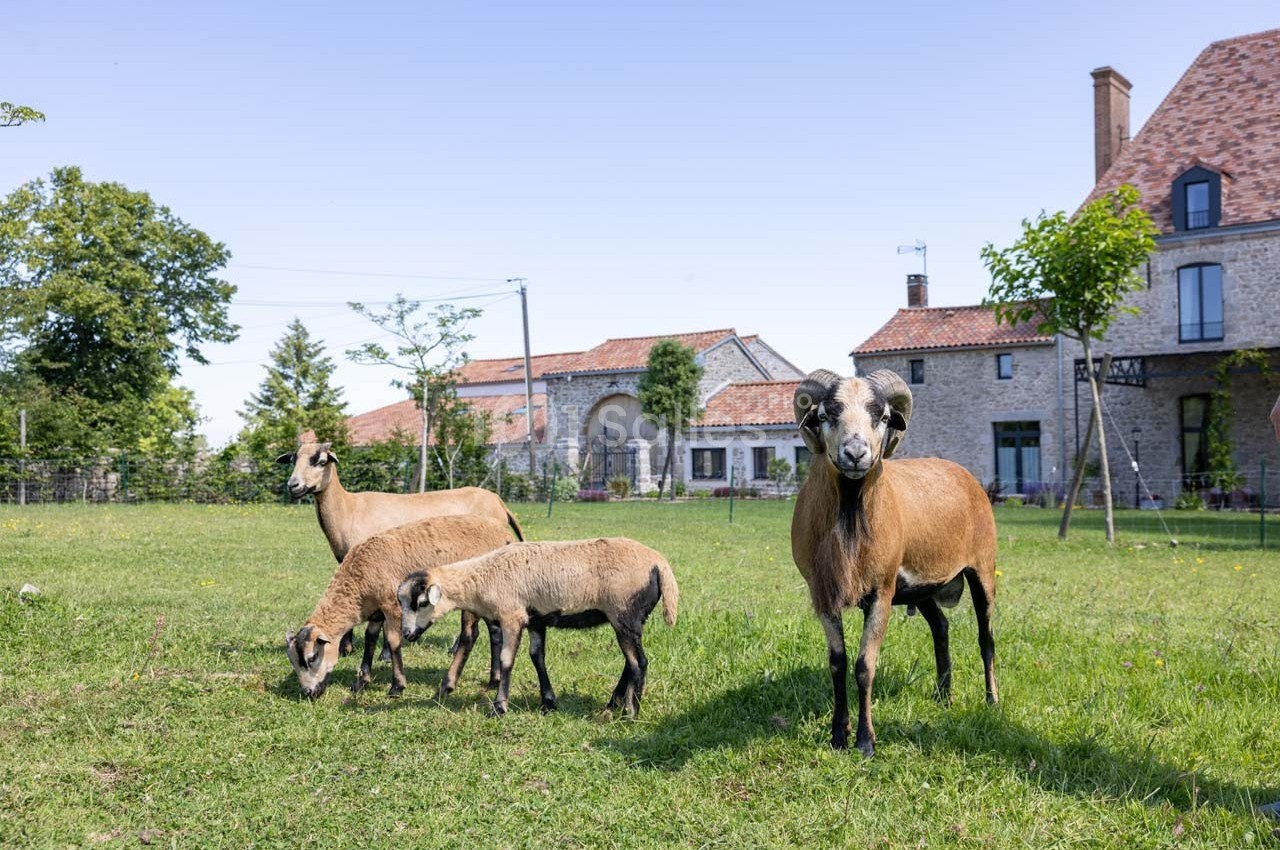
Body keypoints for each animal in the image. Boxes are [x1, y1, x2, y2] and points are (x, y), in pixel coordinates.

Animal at [278, 440, 522, 679]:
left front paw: (379, 653)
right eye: (293, 459)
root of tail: (500, 503)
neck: (348, 509)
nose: (293, 486)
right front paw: (349, 647)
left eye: (320, 461)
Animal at [284, 515, 516, 700]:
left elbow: (392, 641)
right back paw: (493, 680)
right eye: (293, 662)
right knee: (495, 632)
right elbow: (370, 638)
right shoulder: (377, 611)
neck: (358, 584)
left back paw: (447, 685)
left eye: (312, 658)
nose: (308, 693)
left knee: (470, 635)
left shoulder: (392, 605)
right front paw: (361, 682)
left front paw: (397, 686)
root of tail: (505, 536)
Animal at [397, 537, 678, 717]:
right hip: (631, 618)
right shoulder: (535, 619)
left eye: (422, 603)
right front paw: (548, 703)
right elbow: (537, 657)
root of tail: (660, 564)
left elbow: (506, 659)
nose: (407, 634)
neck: (483, 578)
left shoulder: (512, 616)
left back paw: (630, 712)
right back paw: (614, 704)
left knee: (638, 662)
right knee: (630, 663)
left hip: (624, 613)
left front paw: (499, 707)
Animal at [790, 369, 998, 756]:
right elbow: (837, 663)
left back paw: (992, 702)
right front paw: (838, 735)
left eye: (884, 417)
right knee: (941, 627)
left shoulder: (881, 592)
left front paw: (865, 741)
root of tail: (963, 473)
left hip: (983, 569)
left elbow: (864, 666)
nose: (856, 453)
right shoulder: (822, 593)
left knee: (986, 638)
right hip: (922, 588)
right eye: (825, 415)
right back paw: (943, 696)